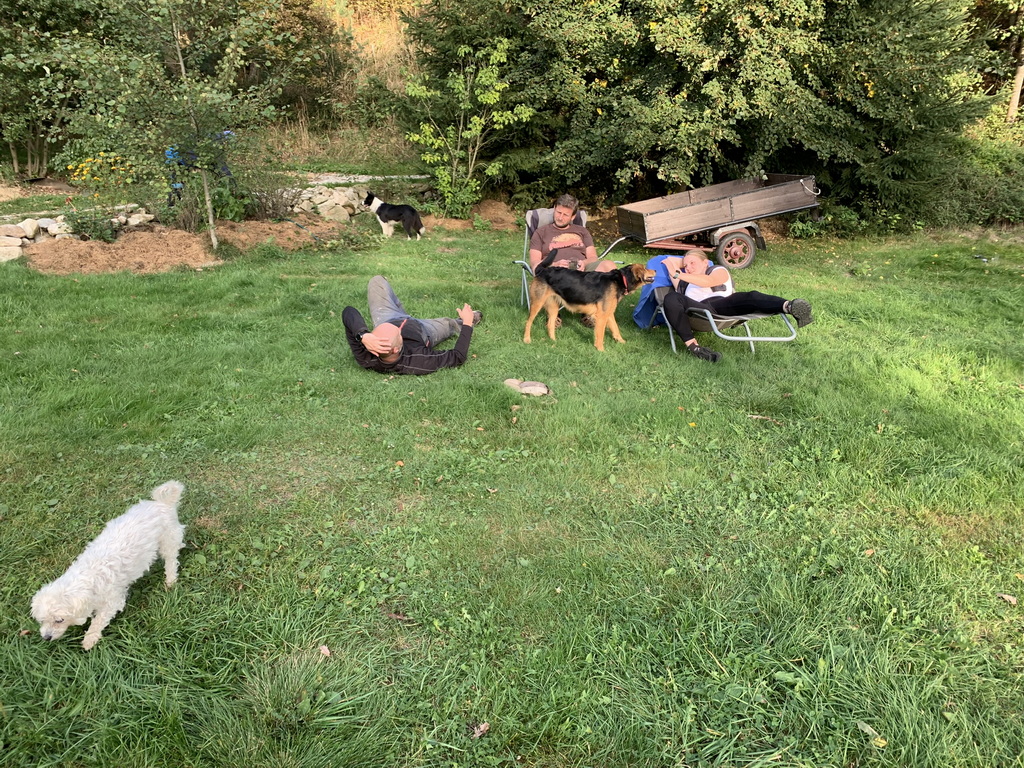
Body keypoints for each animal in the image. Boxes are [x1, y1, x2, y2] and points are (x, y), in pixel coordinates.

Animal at [31, 481, 185, 650]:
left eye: (59, 620)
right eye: (42, 620)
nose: (46, 637)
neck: (87, 578)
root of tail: (162, 503)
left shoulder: (112, 601)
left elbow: (99, 621)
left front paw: (90, 639)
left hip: (168, 539)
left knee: (171, 560)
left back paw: (170, 580)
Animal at [524, 251, 655, 351]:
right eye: (645, 268)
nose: (655, 270)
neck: (621, 279)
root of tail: (542, 270)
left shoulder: (609, 313)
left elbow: (616, 329)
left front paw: (622, 342)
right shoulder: (602, 315)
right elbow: (600, 334)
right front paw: (601, 351)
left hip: (553, 307)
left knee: (550, 325)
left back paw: (554, 341)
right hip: (537, 303)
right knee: (528, 322)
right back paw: (526, 339)